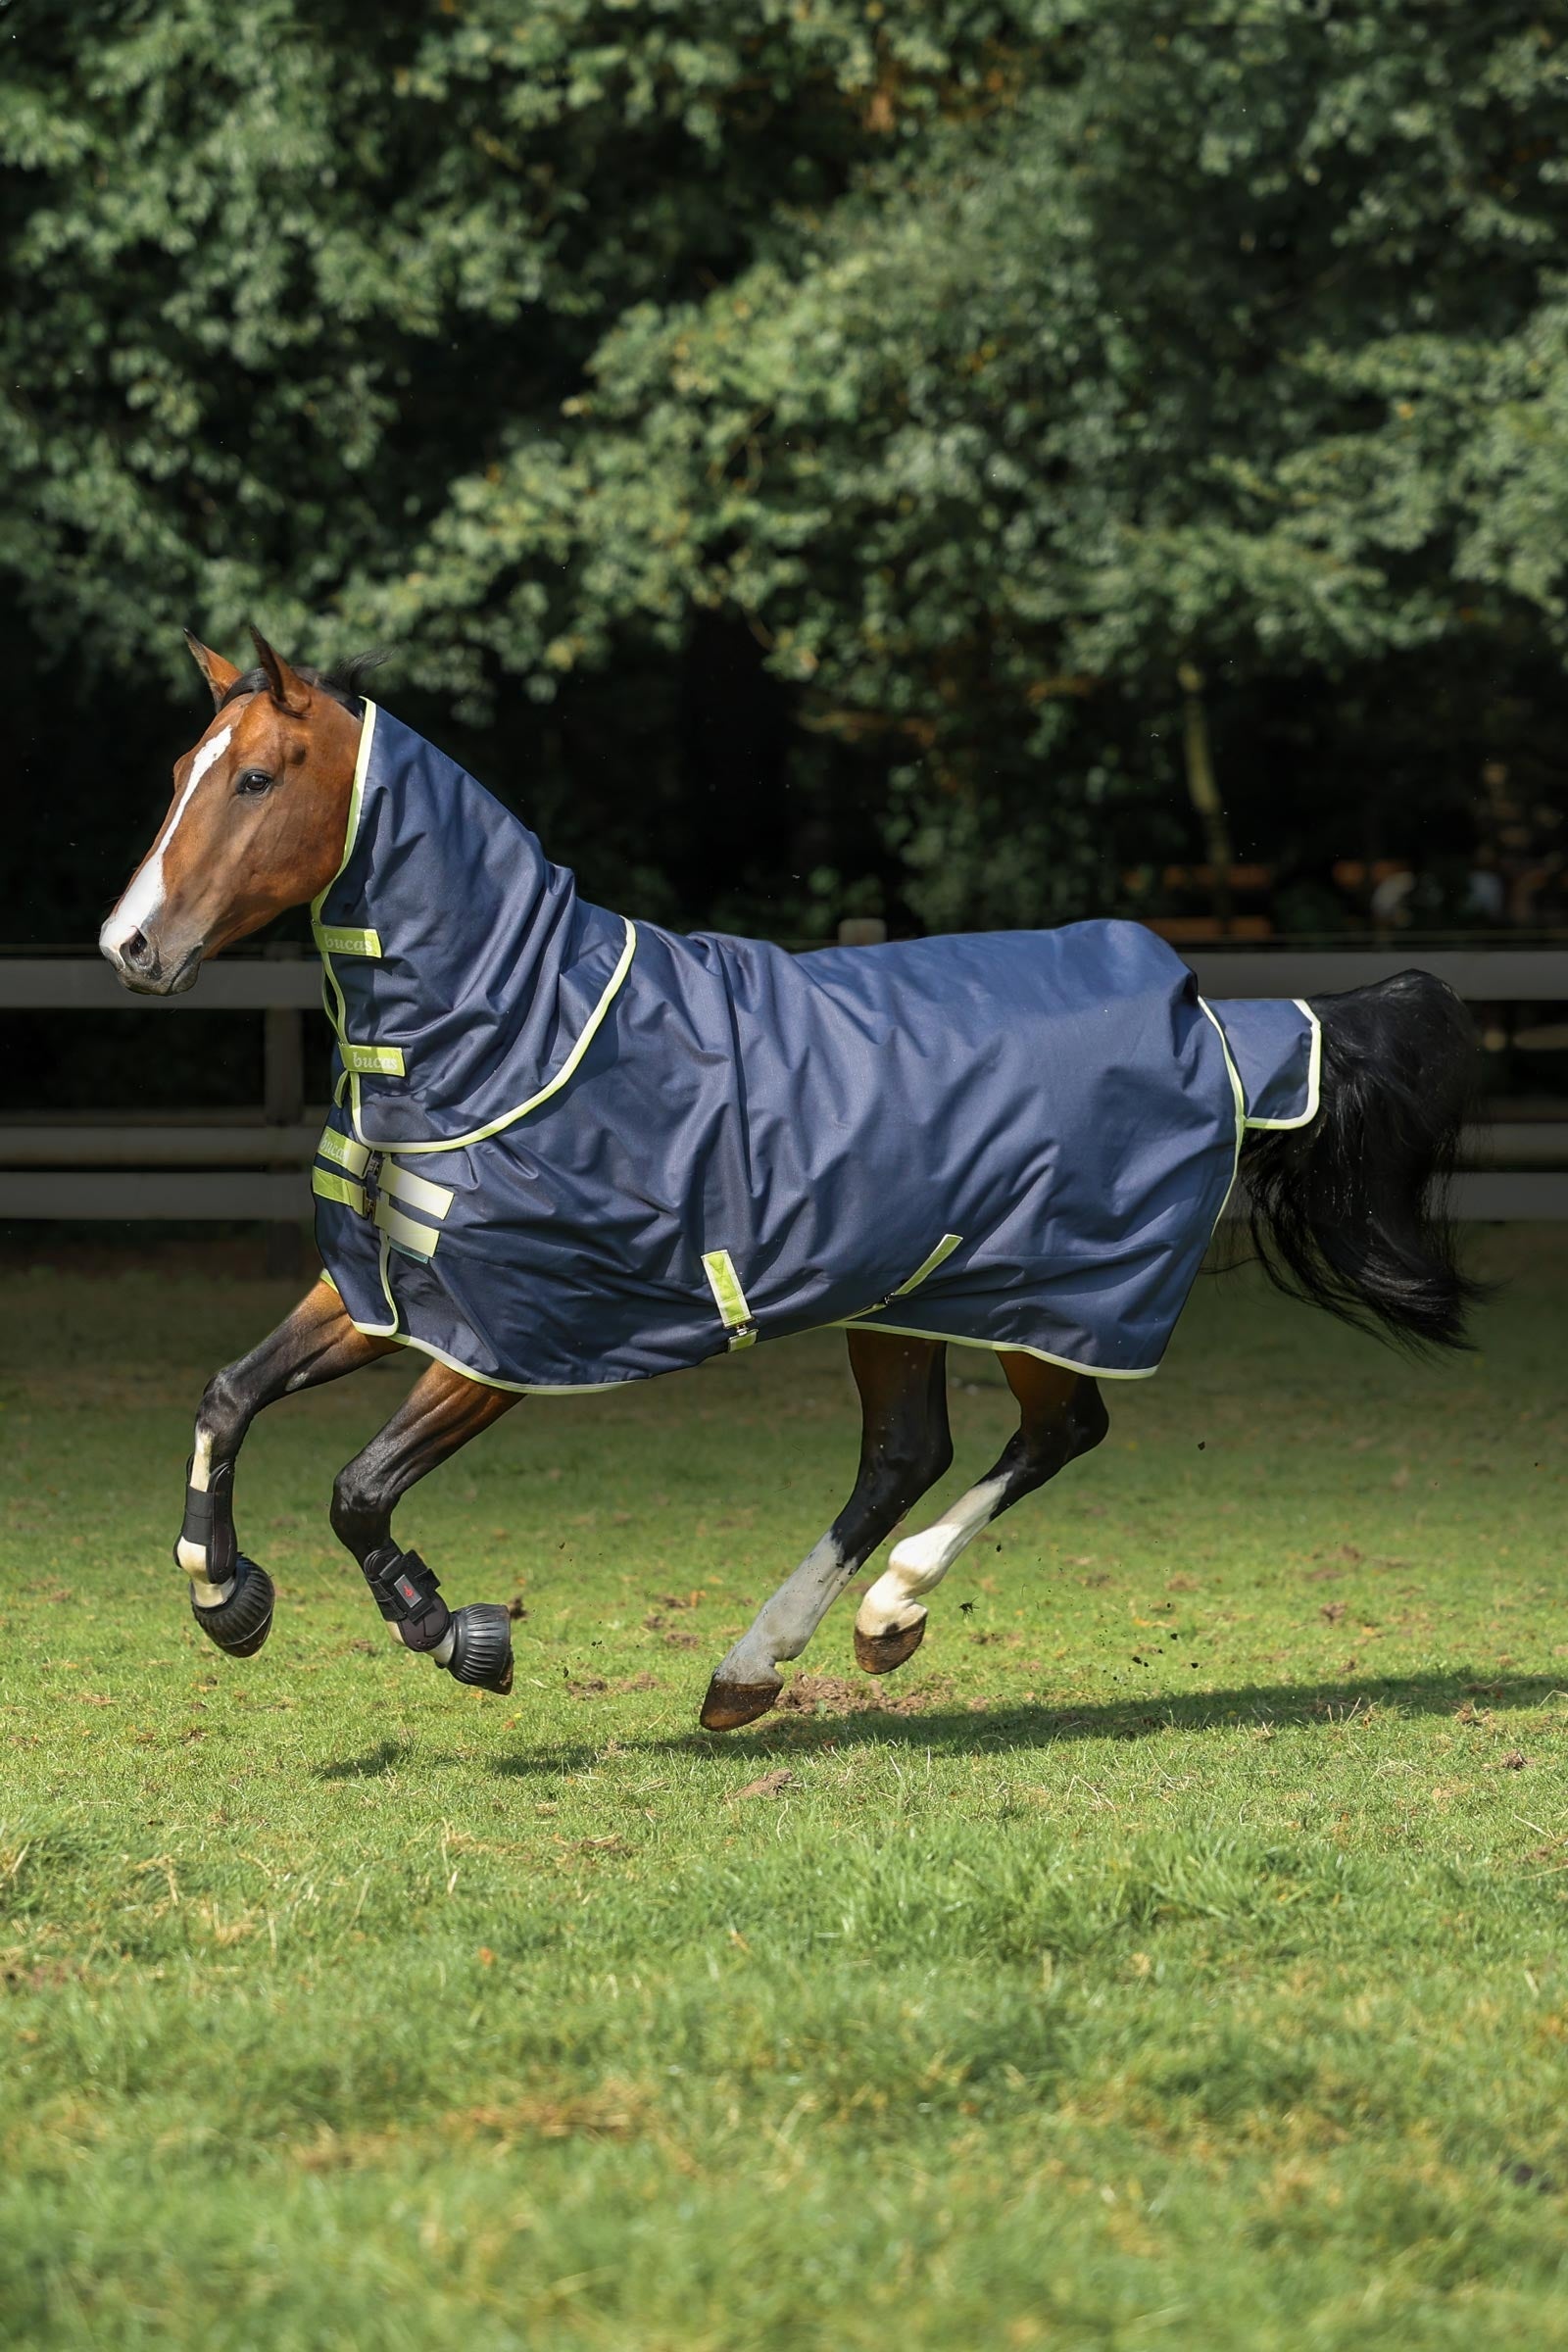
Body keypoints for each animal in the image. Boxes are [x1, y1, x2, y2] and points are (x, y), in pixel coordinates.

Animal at [100, 628, 1481, 1731]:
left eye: (256, 778)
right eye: (173, 777)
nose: (131, 947)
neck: (517, 1028)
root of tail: (1211, 1018)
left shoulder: (510, 1337)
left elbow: (356, 1492)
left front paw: (456, 1637)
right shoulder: (391, 1293)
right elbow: (228, 1397)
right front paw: (226, 1599)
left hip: (1043, 1297)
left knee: (1053, 1433)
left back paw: (876, 1616)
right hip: (906, 1298)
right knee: (908, 1454)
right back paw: (764, 1668)